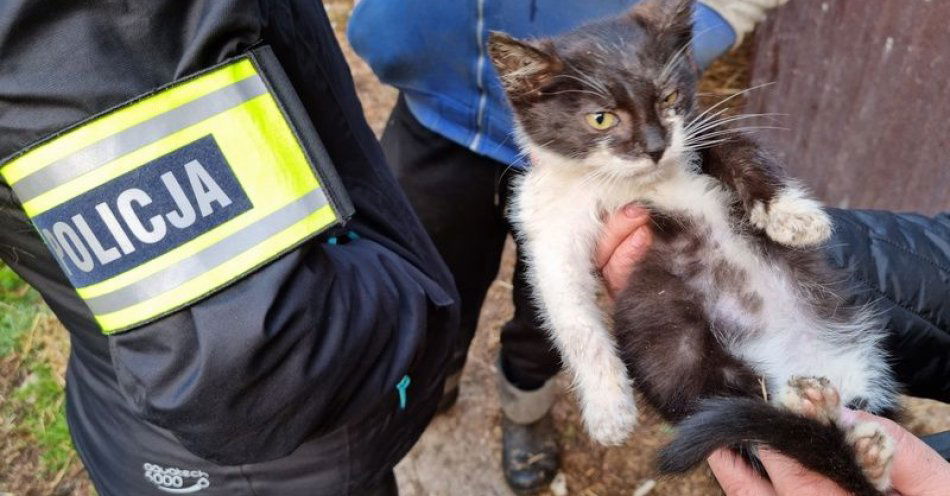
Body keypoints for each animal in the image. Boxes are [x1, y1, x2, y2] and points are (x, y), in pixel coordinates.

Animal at [490, 0, 900, 494]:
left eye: (669, 98)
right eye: (601, 117)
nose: (654, 146)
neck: (638, 182)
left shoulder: (705, 127)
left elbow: (744, 152)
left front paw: (793, 217)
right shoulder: (547, 222)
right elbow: (570, 313)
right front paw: (609, 410)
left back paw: (861, 448)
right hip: (678, 353)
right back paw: (821, 414)